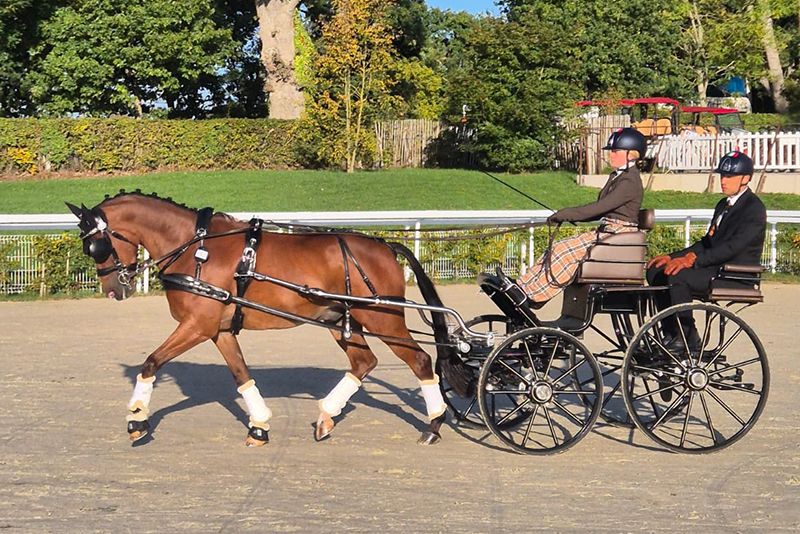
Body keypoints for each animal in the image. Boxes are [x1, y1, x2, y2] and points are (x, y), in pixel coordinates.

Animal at [66, 191, 469, 447]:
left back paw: (434, 423)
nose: (113, 289)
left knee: (420, 361)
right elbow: (242, 376)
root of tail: (385, 245)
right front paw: (259, 426)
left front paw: (137, 419)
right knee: (364, 362)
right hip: (340, 318)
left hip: (383, 318)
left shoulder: (196, 326)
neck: (196, 249)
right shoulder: (220, 331)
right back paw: (326, 416)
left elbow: (151, 362)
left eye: (95, 245)